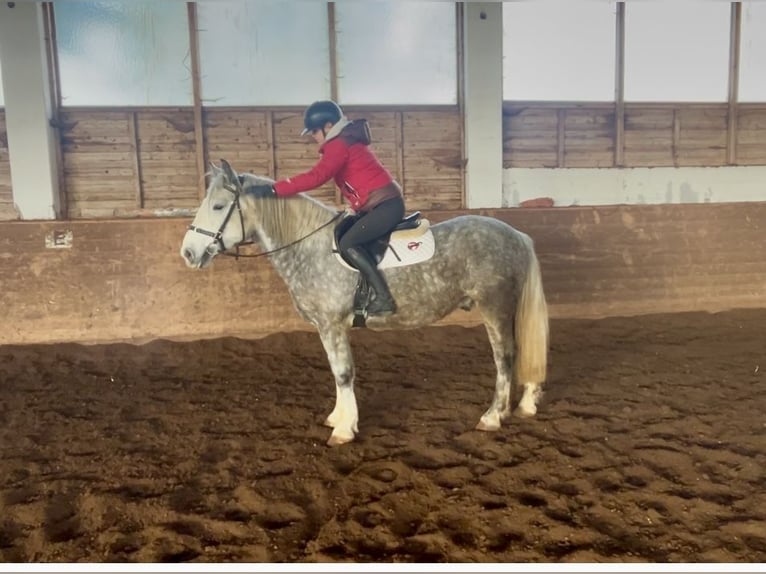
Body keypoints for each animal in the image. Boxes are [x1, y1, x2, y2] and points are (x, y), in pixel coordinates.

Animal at [180, 160, 552, 448]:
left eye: (218, 206)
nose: (188, 253)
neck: (310, 246)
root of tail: (516, 235)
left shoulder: (331, 324)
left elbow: (344, 372)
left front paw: (345, 430)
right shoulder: (326, 328)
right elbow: (337, 372)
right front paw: (337, 418)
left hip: (494, 307)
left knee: (505, 357)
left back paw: (492, 416)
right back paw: (523, 405)